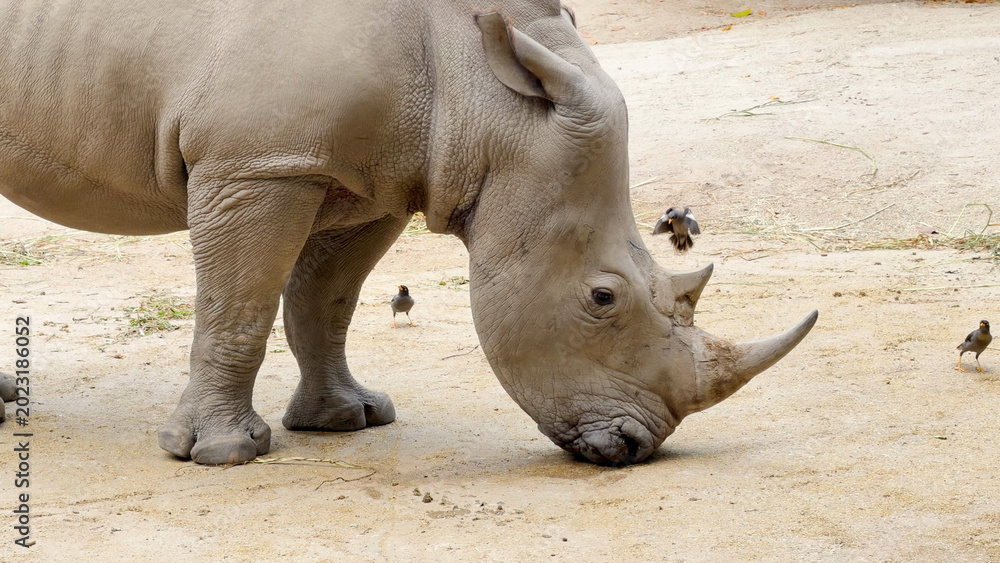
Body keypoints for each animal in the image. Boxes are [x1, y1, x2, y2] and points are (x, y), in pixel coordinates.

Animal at [0, 0, 816, 465]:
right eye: (603, 298)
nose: (635, 448)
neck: (486, 86)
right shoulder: (258, 161)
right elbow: (240, 305)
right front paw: (223, 454)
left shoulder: (367, 177)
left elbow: (324, 303)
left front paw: (347, 420)